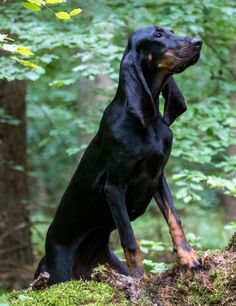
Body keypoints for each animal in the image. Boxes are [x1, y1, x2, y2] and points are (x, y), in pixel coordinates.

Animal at [33, 26, 203, 286]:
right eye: (158, 35)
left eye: (171, 31)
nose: (198, 42)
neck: (147, 121)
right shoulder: (114, 187)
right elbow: (130, 239)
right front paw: (141, 280)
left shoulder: (158, 176)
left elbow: (175, 219)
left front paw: (187, 256)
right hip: (59, 273)